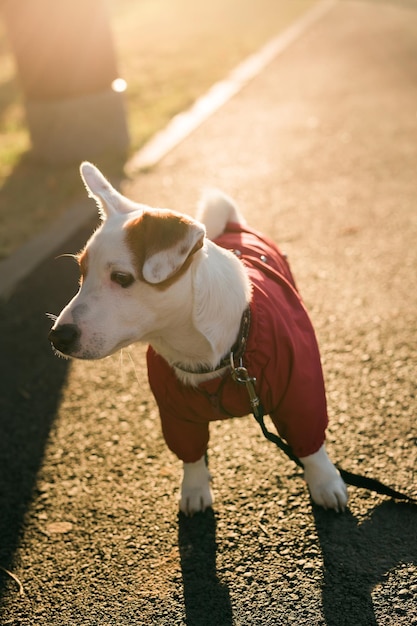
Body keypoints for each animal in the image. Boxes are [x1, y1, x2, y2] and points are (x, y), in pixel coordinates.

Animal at [48, 163, 348, 516]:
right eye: (82, 273)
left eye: (121, 277)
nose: (57, 336)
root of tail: (231, 224)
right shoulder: (175, 414)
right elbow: (189, 455)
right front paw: (194, 489)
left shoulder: (298, 389)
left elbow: (310, 442)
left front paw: (324, 481)